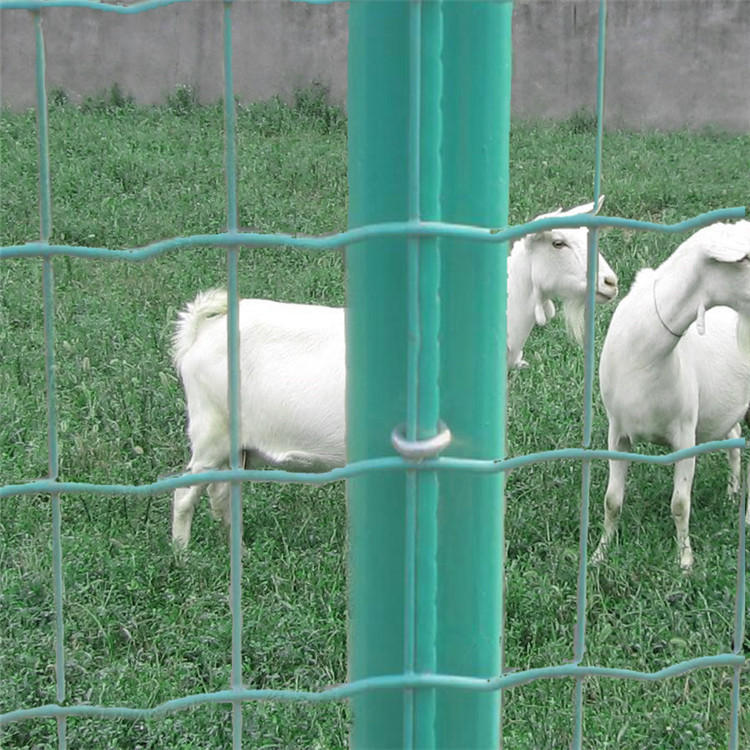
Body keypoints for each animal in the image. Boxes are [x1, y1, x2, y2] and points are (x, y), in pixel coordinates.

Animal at [173, 203, 620, 548]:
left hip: (237, 447)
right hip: (211, 431)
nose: (610, 282)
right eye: (559, 242)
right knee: (182, 496)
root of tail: (199, 333)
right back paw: (185, 559)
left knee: (220, 492)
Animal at [592, 220, 750, 572]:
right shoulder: (617, 432)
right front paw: (600, 553)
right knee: (734, 434)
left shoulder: (685, 434)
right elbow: (611, 501)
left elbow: (680, 503)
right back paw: (732, 493)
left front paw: (685, 561)